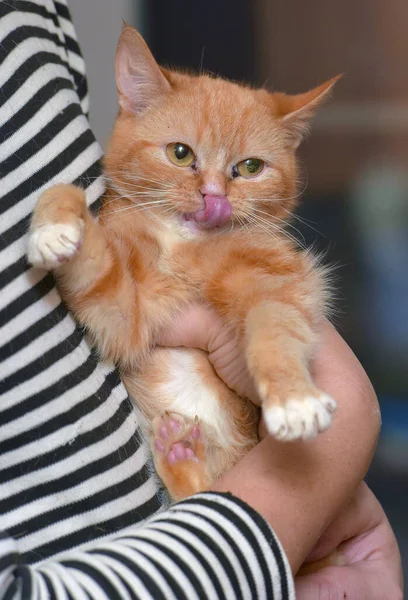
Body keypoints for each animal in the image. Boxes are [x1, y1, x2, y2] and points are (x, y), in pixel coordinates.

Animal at [27, 24, 338, 502]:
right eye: (180, 153)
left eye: (250, 167)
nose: (214, 197)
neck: (183, 245)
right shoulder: (125, 314)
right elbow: (81, 224)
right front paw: (55, 223)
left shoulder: (281, 282)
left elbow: (275, 326)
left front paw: (293, 397)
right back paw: (181, 454)